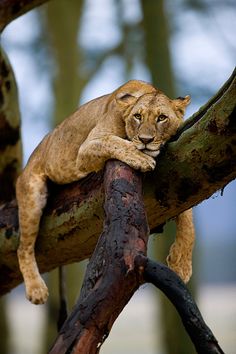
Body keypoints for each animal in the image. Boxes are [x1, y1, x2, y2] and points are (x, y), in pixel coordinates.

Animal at [16, 80, 194, 304]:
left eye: (162, 118)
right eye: (138, 116)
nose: (145, 139)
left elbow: (188, 217)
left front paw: (181, 263)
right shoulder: (85, 149)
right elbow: (115, 142)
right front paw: (141, 157)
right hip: (32, 195)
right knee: (22, 248)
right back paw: (36, 289)